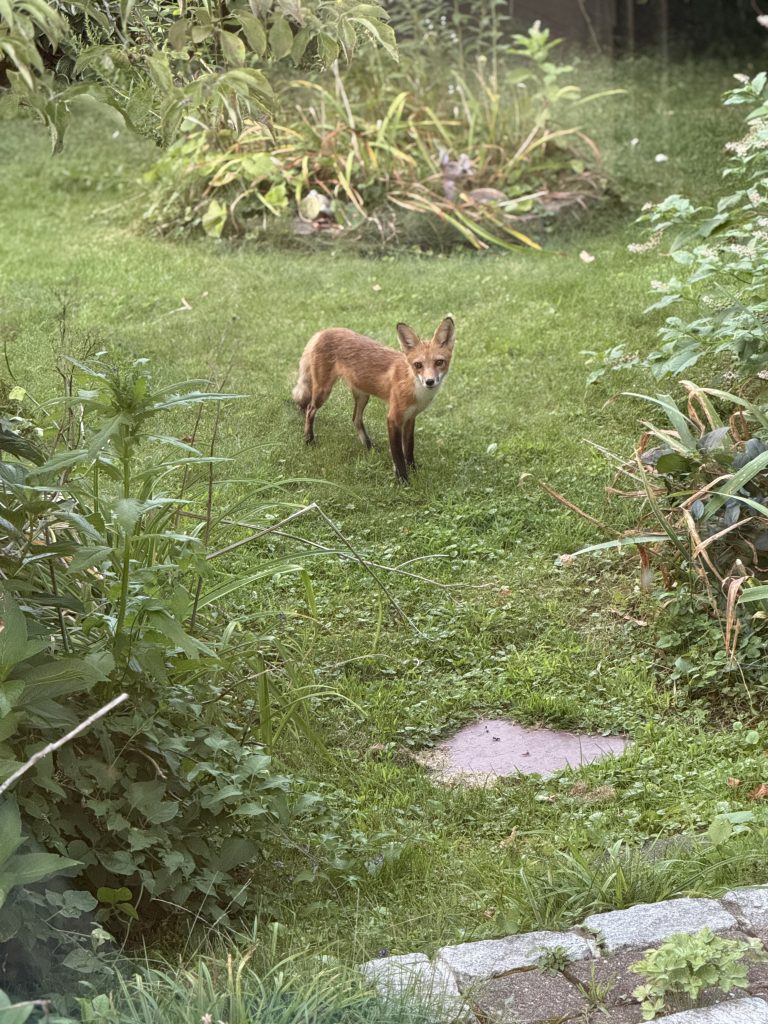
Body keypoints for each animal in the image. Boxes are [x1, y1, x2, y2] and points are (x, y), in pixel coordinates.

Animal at [292, 317, 456, 483]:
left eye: (439, 362)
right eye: (418, 365)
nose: (429, 382)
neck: (414, 388)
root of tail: (322, 331)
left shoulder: (410, 418)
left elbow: (409, 449)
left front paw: (413, 471)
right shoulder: (393, 418)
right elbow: (398, 455)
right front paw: (403, 481)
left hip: (363, 396)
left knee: (355, 419)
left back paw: (369, 447)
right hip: (323, 391)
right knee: (309, 410)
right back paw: (309, 440)